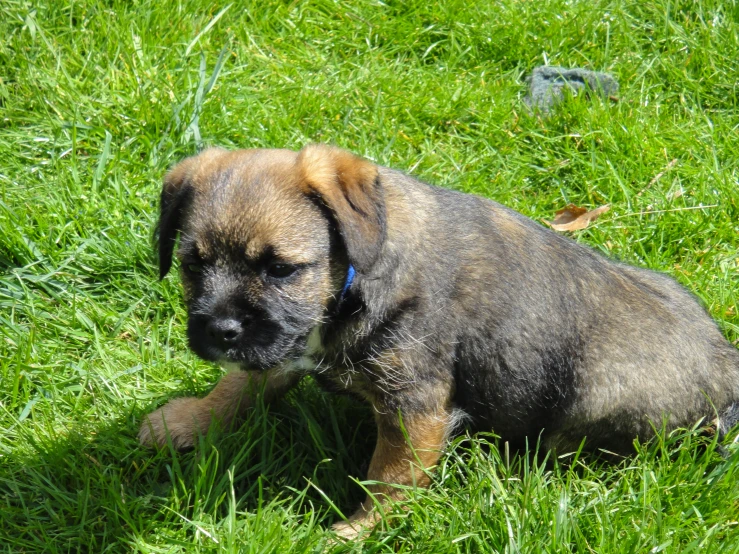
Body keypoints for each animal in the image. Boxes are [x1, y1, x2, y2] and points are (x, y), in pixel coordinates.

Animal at [140, 144, 739, 536]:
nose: (221, 330)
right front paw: (190, 420)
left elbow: (389, 479)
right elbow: (241, 383)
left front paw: (354, 534)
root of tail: (725, 368)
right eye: (192, 265)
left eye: (281, 269)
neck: (354, 277)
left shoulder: (415, 407)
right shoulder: (286, 343)